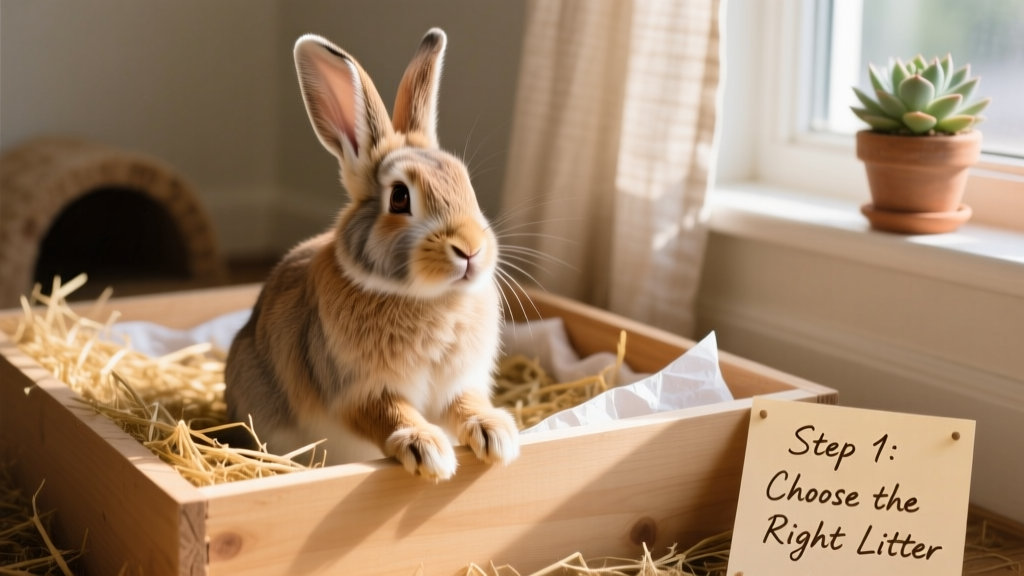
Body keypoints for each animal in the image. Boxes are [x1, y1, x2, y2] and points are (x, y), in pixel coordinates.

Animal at [224, 28, 519, 481]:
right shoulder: (357, 389)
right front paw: (428, 450)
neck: (428, 299)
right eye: (399, 197)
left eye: (465, 183)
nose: (470, 249)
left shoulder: (458, 383)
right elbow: (391, 413)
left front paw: (497, 434)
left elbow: (466, 403)